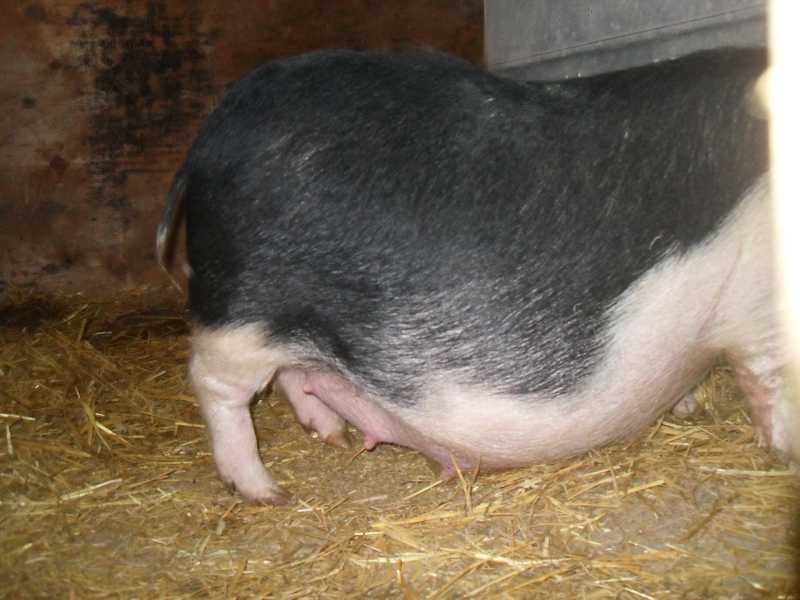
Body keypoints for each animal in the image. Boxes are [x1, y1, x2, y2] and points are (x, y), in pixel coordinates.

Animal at [157, 47, 795, 504]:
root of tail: (212, 133)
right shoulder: (759, 305)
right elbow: (770, 377)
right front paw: (786, 452)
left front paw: (692, 410)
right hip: (241, 313)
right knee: (216, 387)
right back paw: (265, 493)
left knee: (292, 375)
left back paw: (333, 436)